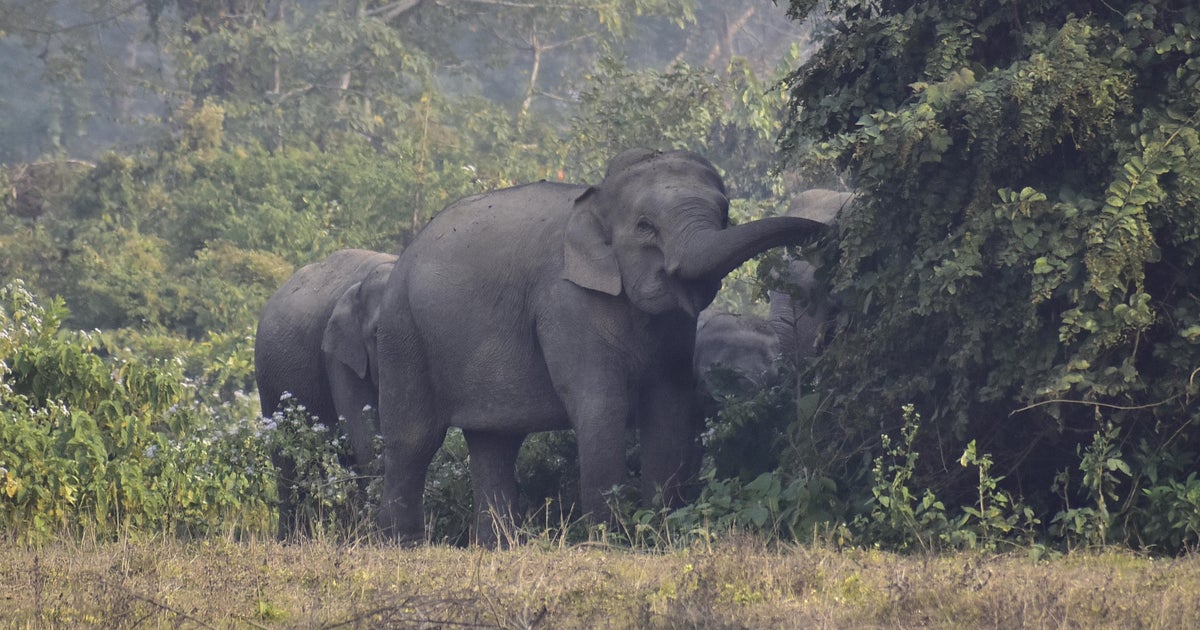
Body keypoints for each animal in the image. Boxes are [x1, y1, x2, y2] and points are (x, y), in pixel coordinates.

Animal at [254, 248, 396, 534]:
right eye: (377, 332)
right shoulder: (339, 356)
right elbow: (364, 434)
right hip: (268, 378)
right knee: (285, 456)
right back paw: (291, 536)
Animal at [371, 148, 826, 543]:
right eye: (645, 226)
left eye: (725, 213)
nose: (824, 233)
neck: (597, 199)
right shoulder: (564, 301)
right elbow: (600, 403)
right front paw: (608, 539)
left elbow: (669, 404)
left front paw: (656, 532)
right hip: (402, 331)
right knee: (414, 440)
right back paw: (404, 544)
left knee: (495, 442)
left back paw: (497, 546)